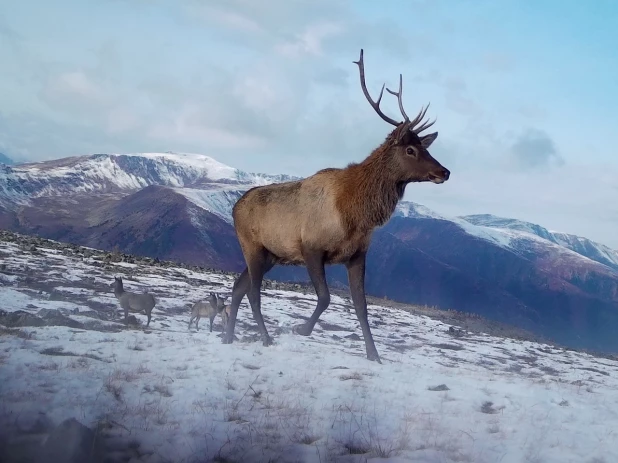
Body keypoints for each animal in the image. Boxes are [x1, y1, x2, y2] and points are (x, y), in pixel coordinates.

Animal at [221, 49, 448, 364]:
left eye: (426, 147)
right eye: (411, 149)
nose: (444, 172)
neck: (356, 213)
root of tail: (235, 206)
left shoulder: (357, 255)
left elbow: (362, 307)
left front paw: (374, 355)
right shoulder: (311, 248)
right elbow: (326, 297)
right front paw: (301, 329)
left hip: (271, 254)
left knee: (238, 286)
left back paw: (228, 336)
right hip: (251, 246)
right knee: (253, 292)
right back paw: (265, 338)